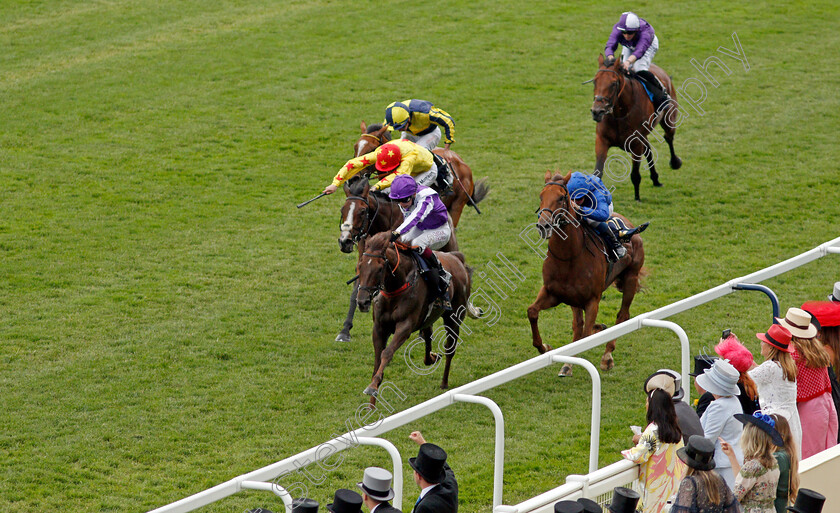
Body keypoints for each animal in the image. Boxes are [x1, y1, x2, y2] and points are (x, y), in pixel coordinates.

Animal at [334, 178, 460, 342]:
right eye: (342, 210)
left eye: (362, 211)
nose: (345, 241)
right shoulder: (364, 261)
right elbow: (357, 289)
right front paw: (345, 330)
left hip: (443, 239)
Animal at [354, 230, 480, 398]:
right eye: (360, 266)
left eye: (380, 269)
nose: (362, 301)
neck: (396, 288)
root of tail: (457, 258)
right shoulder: (379, 327)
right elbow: (377, 360)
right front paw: (372, 395)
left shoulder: (405, 326)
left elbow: (387, 353)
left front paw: (373, 386)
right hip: (428, 319)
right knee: (428, 337)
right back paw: (432, 357)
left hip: (453, 318)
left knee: (450, 349)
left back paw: (444, 383)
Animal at [528, 170, 648, 374]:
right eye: (541, 196)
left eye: (561, 197)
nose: (543, 226)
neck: (569, 257)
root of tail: (628, 224)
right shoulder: (552, 293)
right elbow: (532, 312)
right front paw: (544, 347)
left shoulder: (592, 301)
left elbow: (585, 335)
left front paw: (570, 362)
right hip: (574, 299)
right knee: (579, 325)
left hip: (631, 278)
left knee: (622, 316)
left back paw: (607, 355)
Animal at [592, 54, 684, 201]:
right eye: (595, 81)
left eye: (613, 84)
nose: (597, 111)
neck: (620, 113)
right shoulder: (602, 140)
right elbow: (597, 173)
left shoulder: (635, 143)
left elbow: (635, 174)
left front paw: (637, 198)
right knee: (648, 149)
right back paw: (655, 179)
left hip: (669, 119)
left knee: (668, 138)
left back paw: (675, 162)